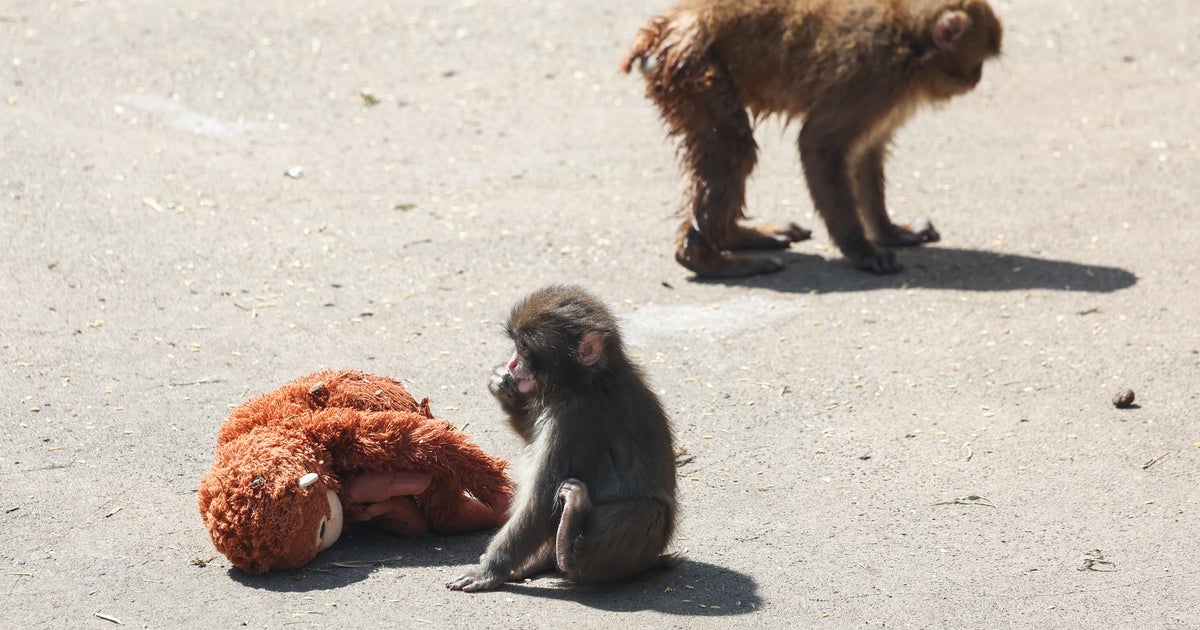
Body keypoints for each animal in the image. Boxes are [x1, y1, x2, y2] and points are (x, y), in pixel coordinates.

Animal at [446, 285, 680, 592]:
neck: (587, 382)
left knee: (645, 511)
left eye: (524, 347)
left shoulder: (575, 420)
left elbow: (542, 501)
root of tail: (652, 560)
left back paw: (568, 548)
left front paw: (488, 571)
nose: (512, 363)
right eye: (516, 344)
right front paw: (504, 389)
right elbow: (532, 437)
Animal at [622, 0, 1003, 277]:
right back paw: (705, 259)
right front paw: (861, 249)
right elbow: (818, 143)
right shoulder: (873, 76)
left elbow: (867, 152)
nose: (977, 79)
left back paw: (735, 237)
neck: (909, 39)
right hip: (694, 68)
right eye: (979, 60)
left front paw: (889, 230)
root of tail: (664, 26)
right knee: (733, 147)